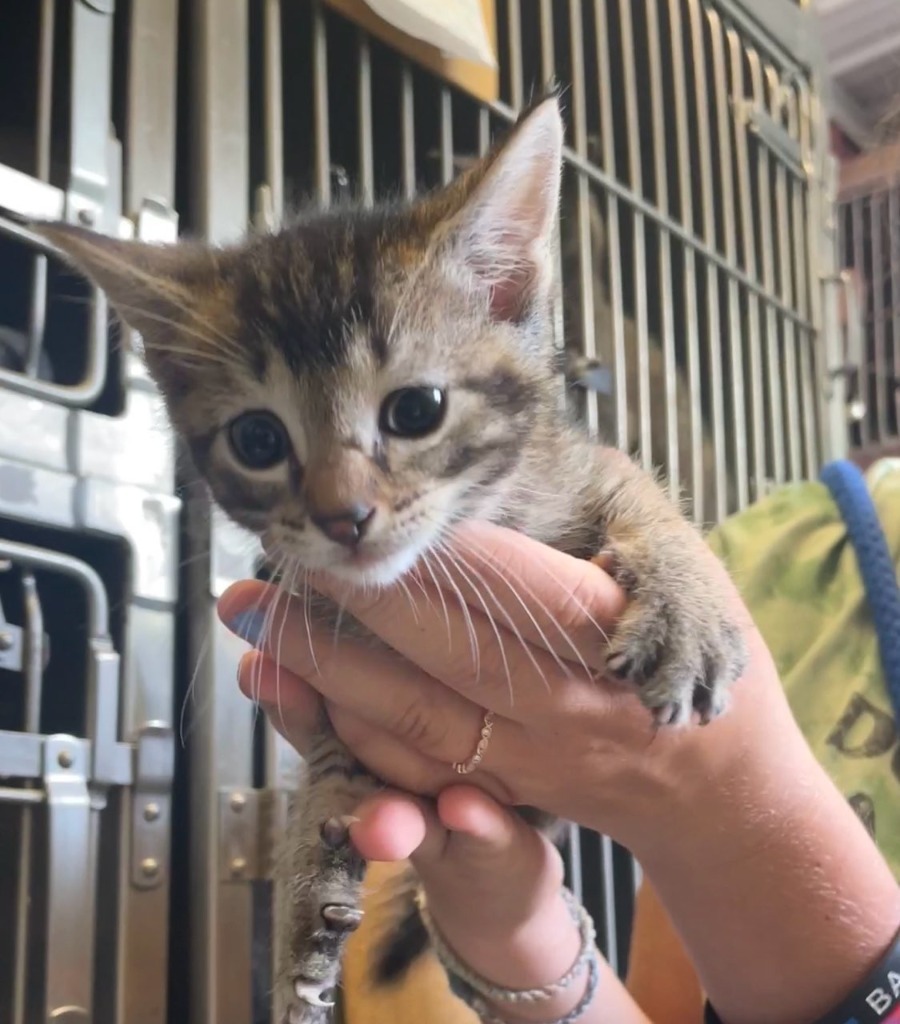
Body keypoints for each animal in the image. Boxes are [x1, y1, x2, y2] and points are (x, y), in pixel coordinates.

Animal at [38, 96, 745, 1024]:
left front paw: (687, 606)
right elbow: (329, 773)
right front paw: (309, 885)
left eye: (417, 410)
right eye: (257, 440)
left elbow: (646, 496)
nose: (343, 517)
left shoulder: (578, 465)